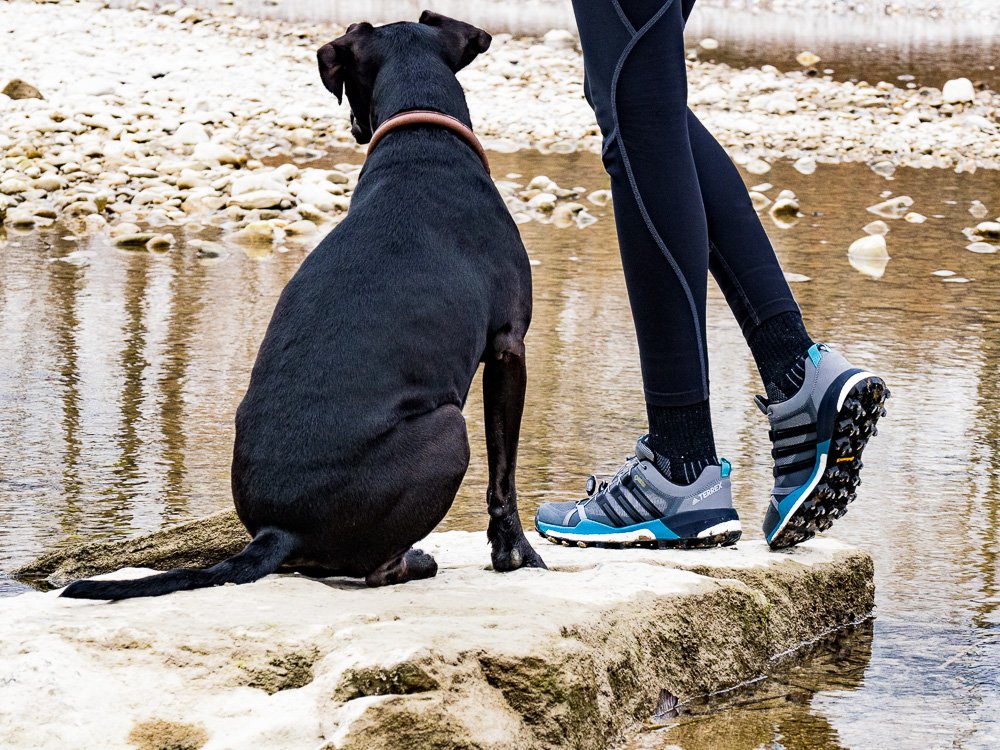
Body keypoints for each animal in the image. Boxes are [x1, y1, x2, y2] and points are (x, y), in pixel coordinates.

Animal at [60, 11, 548, 604]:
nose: (357, 128)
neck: (422, 144)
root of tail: (279, 531)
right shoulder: (508, 346)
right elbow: (505, 476)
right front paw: (516, 555)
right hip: (448, 430)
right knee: (376, 567)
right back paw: (414, 559)